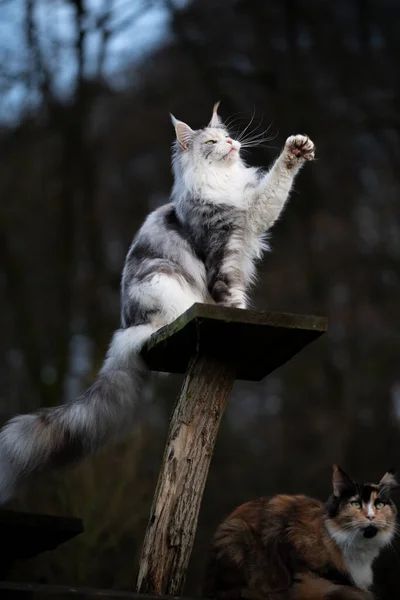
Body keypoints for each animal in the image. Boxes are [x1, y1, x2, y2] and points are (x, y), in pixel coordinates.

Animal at [0, 104, 316, 502]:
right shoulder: (222, 254)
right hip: (162, 279)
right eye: (211, 143)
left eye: (227, 136)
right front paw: (242, 318)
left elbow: (277, 184)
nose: (231, 143)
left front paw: (298, 149)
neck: (221, 183)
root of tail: (127, 330)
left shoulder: (253, 214)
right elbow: (231, 299)